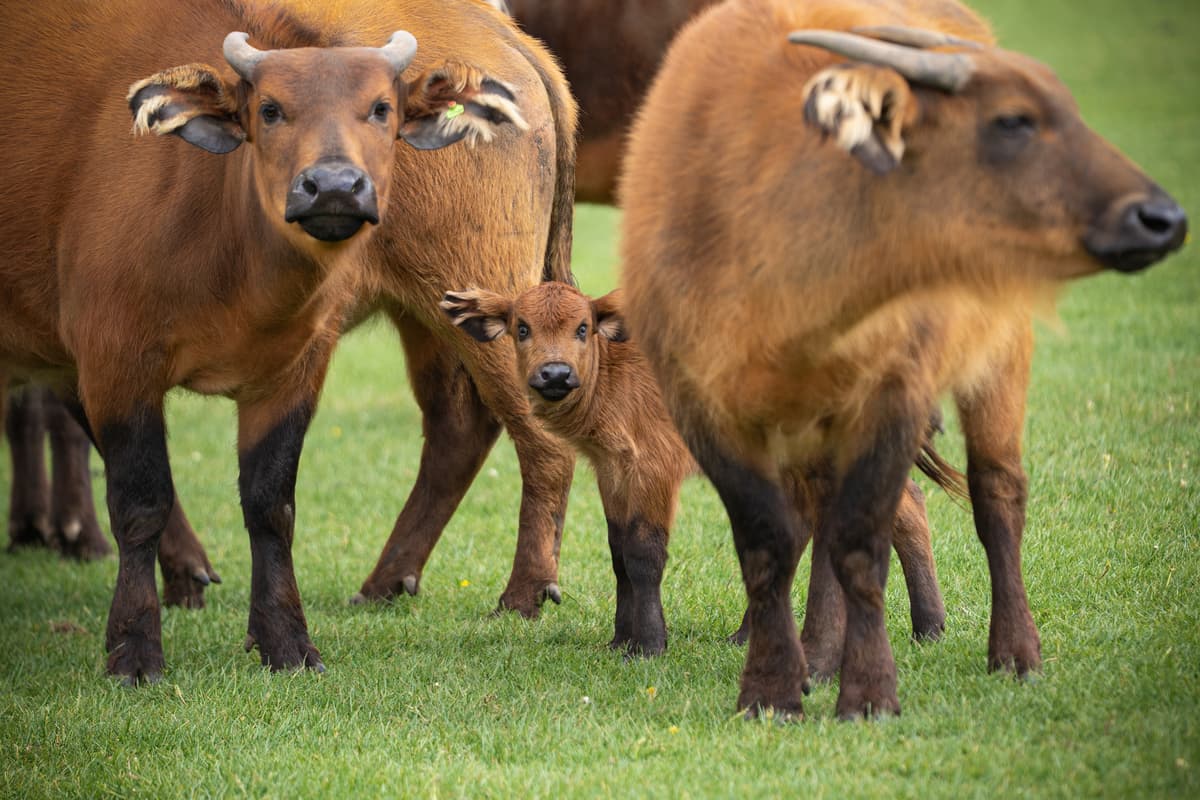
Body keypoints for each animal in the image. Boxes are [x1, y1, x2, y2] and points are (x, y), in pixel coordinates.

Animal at [0, 0, 536, 684]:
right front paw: (136, 648)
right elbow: (141, 502)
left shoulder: (292, 372)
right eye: (271, 109)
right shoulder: (112, 362)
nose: (332, 186)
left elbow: (271, 506)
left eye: (381, 108)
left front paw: (285, 638)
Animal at [441, 282, 957, 657]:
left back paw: (929, 628)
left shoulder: (655, 466)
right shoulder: (612, 469)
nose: (555, 374)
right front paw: (619, 640)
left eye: (583, 328)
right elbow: (618, 553)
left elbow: (644, 554)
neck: (613, 377)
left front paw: (648, 645)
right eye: (521, 327)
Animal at [618, 0, 1187, 720]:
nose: (1164, 218)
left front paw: (867, 693)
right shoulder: (701, 405)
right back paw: (820, 655)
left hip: (1001, 355)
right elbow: (767, 546)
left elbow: (861, 544)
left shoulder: (893, 394)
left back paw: (1013, 651)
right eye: (1013, 120)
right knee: (822, 515)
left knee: (997, 493)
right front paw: (773, 688)